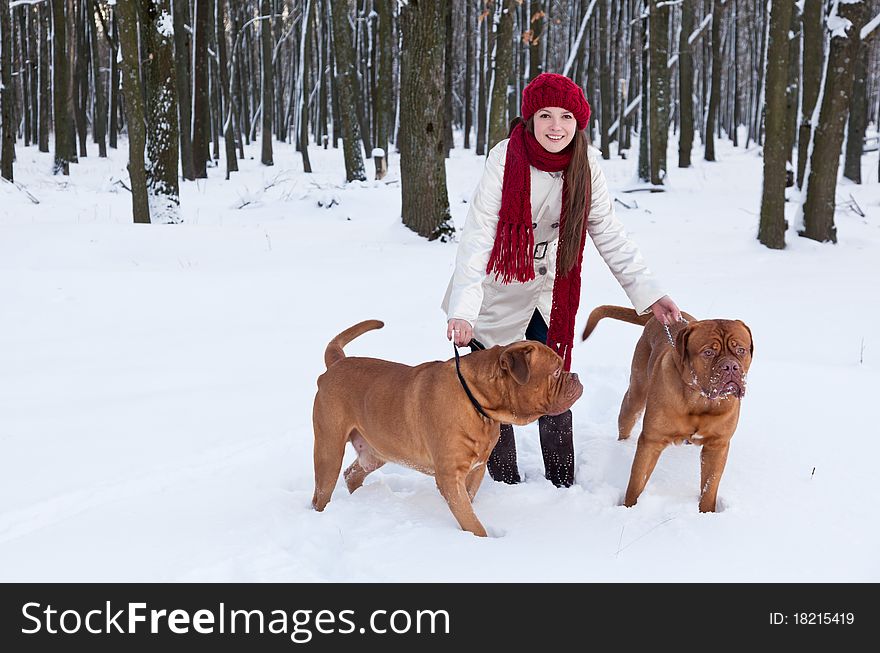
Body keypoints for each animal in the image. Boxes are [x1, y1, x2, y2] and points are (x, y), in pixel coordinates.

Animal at [312, 320, 584, 536]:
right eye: (556, 371)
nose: (576, 376)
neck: (478, 402)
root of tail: (336, 363)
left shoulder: (475, 470)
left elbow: (468, 504)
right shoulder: (449, 475)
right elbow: (471, 519)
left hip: (377, 450)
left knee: (353, 473)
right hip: (329, 451)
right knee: (322, 492)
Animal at [580, 304, 752, 512]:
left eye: (741, 350)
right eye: (708, 353)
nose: (731, 366)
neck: (699, 401)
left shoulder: (717, 445)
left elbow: (710, 487)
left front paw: (706, 513)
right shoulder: (651, 440)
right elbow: (636, 482)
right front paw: (629, 508)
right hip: (635, 396)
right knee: (627, 419)